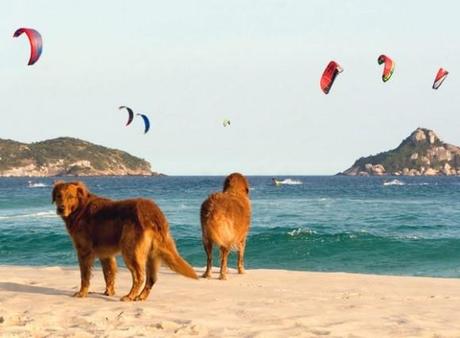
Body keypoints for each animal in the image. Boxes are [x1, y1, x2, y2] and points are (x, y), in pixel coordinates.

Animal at [52, 180, 198, 302]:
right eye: (59, 195)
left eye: (70, 196)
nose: (61, 209)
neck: (80, 208)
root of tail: (152, 211)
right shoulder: (106, 254)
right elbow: (109, 274)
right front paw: (109, 292)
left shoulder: (84, 252)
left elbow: (85, 276)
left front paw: (82, 293)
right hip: (152, 254)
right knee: (151, 278)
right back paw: (141, 297)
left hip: (130, 251)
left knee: (139, 276)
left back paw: (130, 296)